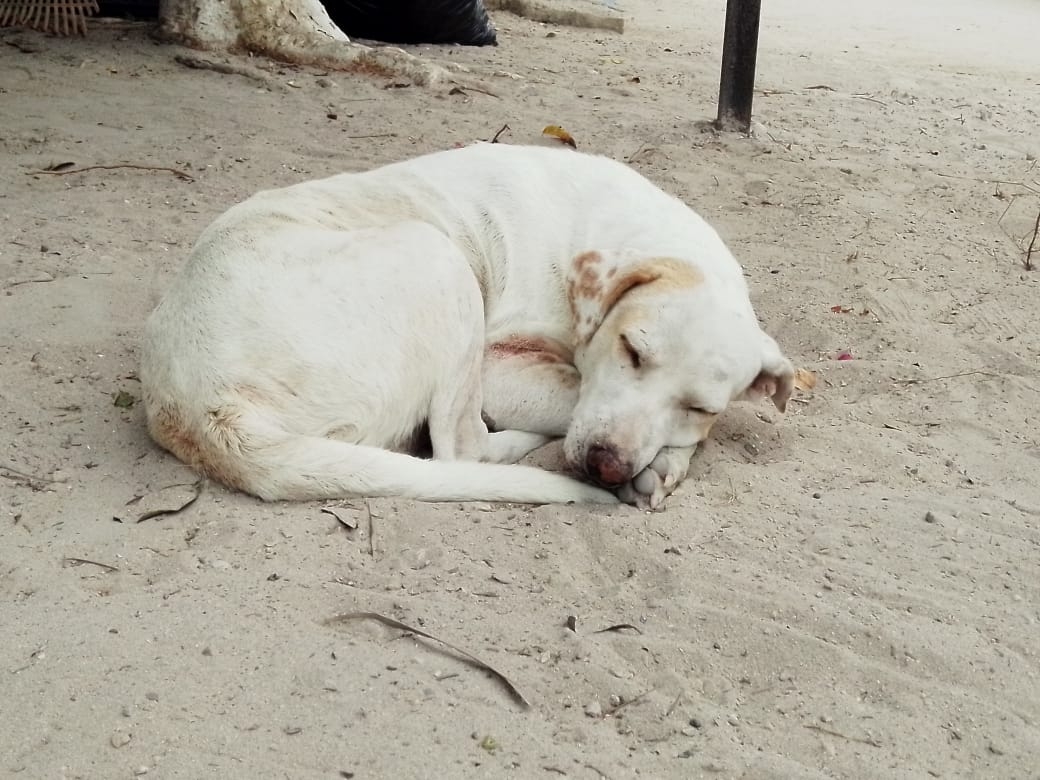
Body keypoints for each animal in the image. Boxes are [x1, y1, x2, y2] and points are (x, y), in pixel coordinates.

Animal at [136, 142, 786, 507]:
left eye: (700, 405)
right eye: (630, 350)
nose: (607, 466)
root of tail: (201, 407)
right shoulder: (502, 367)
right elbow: (574, 399)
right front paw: (664, 463)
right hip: (440, 258)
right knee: (459, 450)